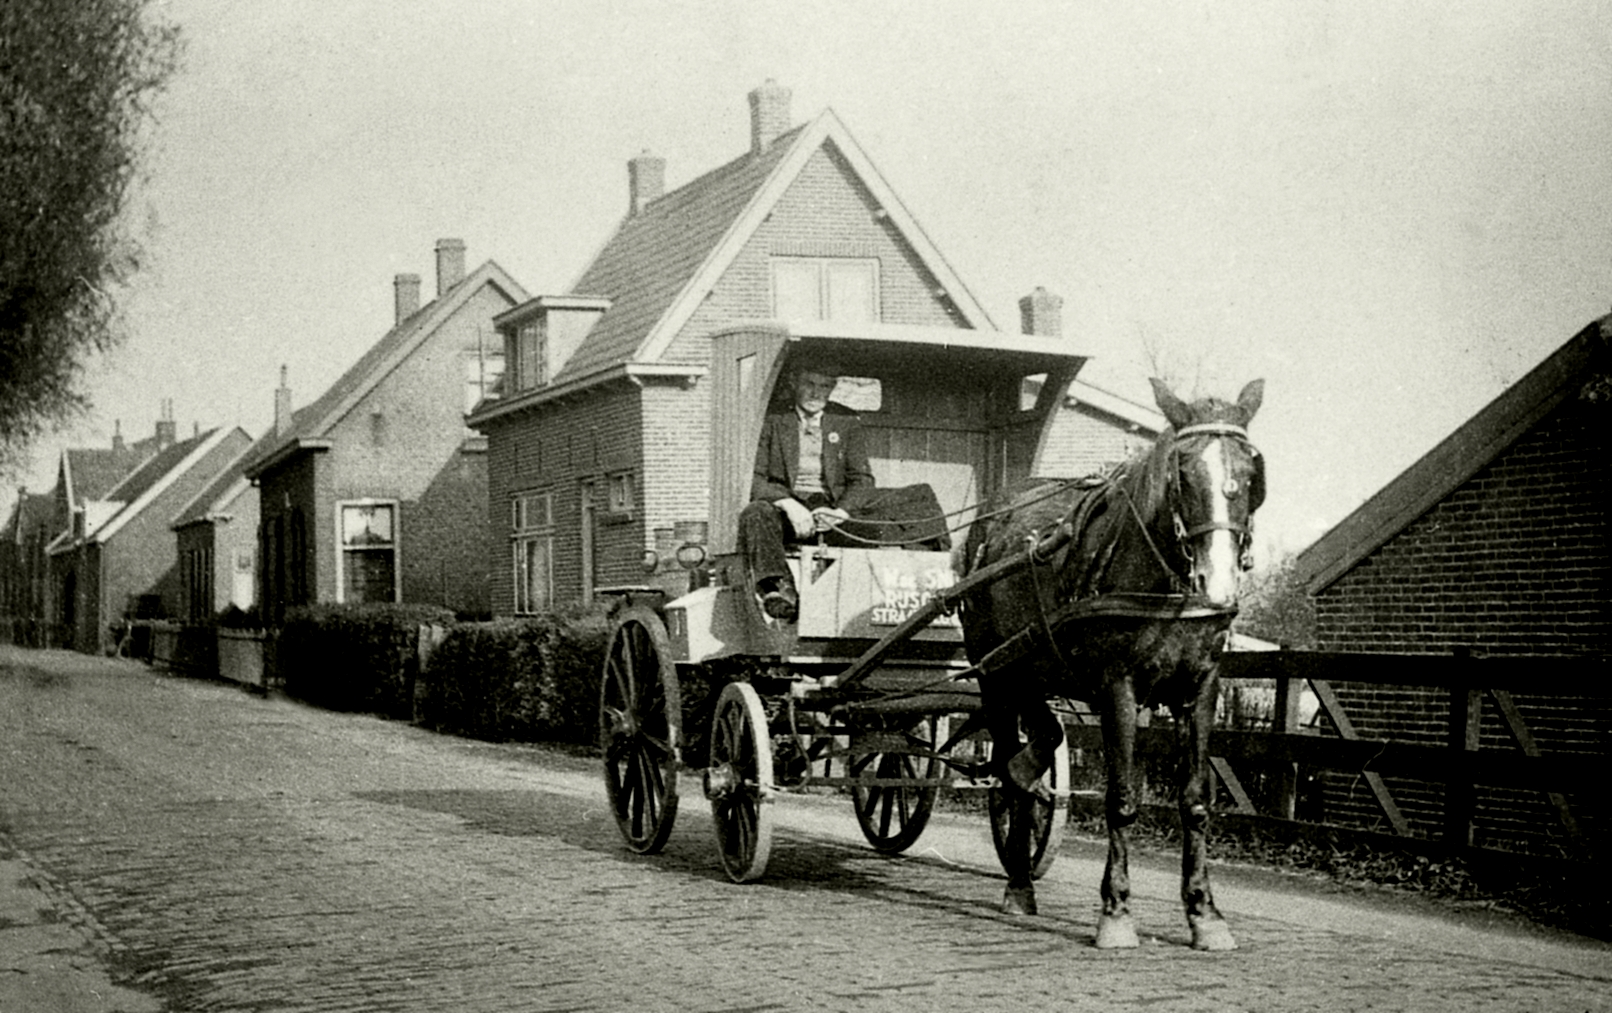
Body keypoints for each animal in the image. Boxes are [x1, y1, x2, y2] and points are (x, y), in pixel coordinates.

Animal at [959, 378, 1265, 951]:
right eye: (1181, 474)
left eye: (1252, 473)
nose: (1217, 582)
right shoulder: (1118, 687)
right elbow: (1121, 798)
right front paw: (1117, 911)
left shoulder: (1201, 689)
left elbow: (1195, 802)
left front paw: (1205, 913)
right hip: (995, 672)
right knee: (1011, 769)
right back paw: (1019, 883)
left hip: (1034, 664)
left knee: (1041, 743)